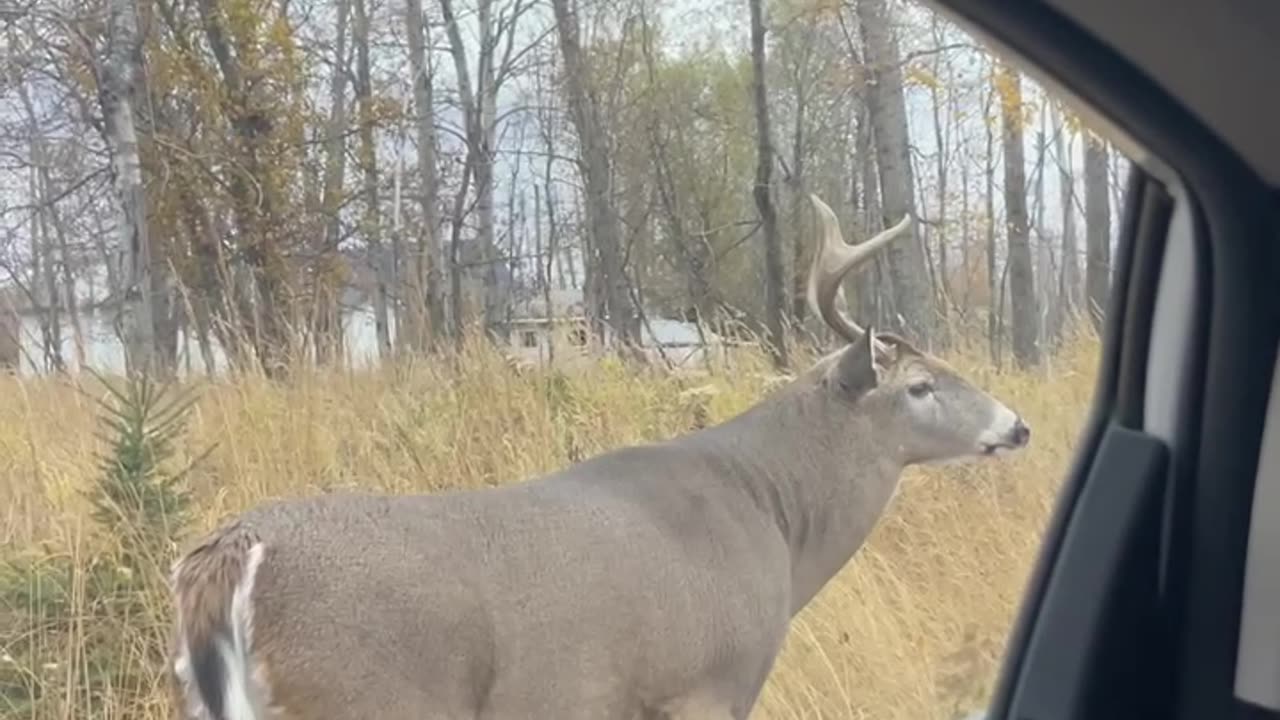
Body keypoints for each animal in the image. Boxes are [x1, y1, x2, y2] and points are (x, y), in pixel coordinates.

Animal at [170, 193, 1029, 712]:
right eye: (919, 384)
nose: (1016, 425)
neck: (776, 521)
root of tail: (232, 552)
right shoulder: (709, 681)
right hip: (370, 693)